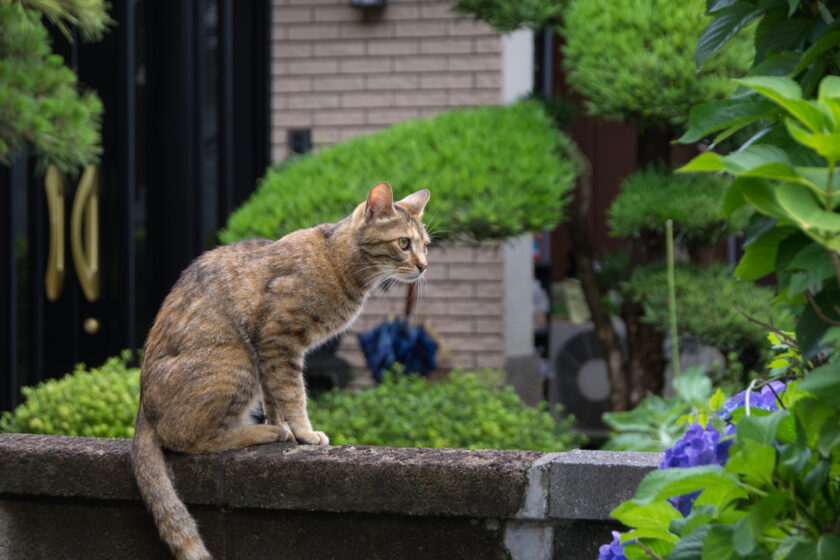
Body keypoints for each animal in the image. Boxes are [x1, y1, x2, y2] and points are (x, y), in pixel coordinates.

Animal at [131, 182, 434, 556]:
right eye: (404, 243)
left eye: (425, 245)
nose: (423, 266)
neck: (337, 258)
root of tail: (143, 410)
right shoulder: (279, 340)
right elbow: (293, 394)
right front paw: (304, 432)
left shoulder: (271, 355)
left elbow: (275, 397)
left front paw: (285, 427)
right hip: (237, 361)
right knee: (189, 439)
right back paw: (261, 433)